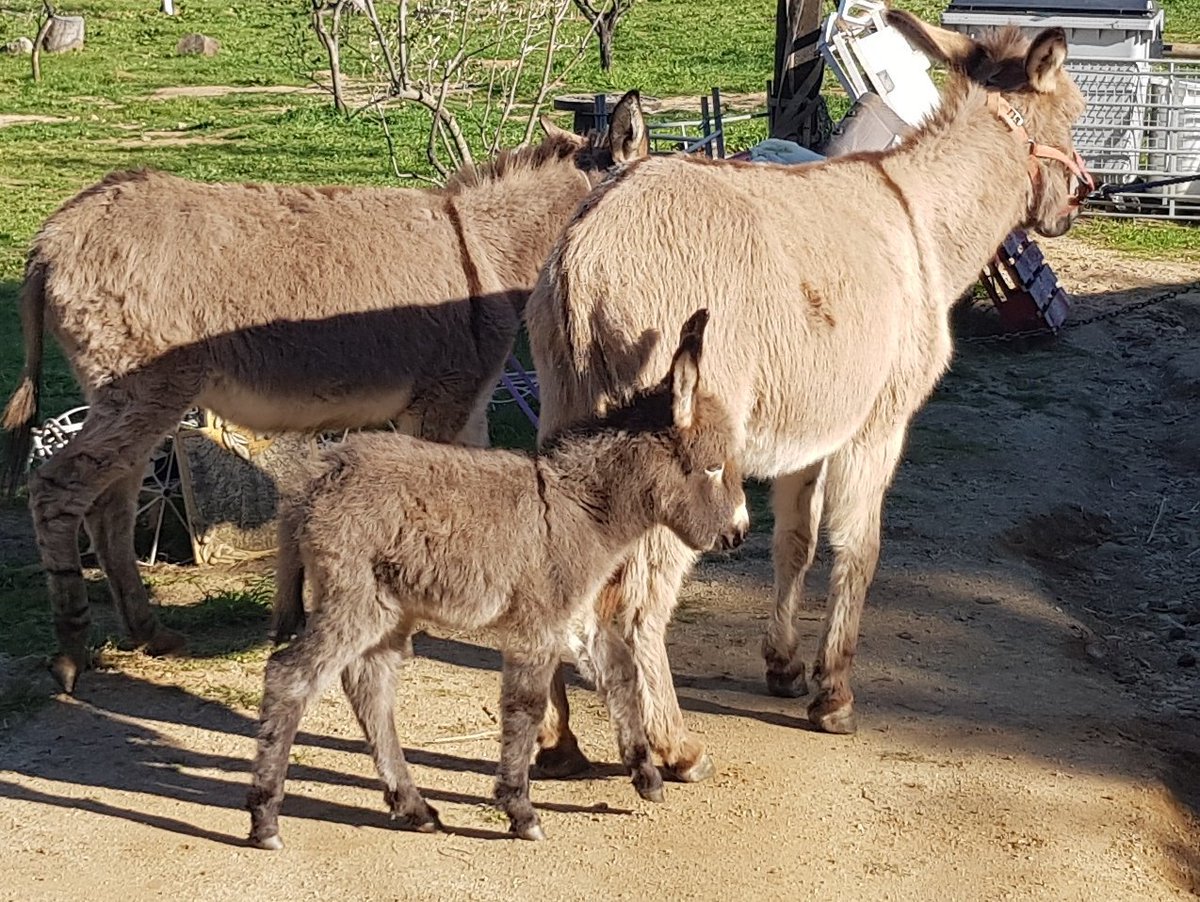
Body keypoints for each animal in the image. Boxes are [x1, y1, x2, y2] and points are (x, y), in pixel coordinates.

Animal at [248, 309, 744, 844]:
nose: (739, 532)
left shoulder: (576, 618)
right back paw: (265, 817)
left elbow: (621, 675)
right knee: (291, 676)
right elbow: (525, 707)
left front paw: (646, 775)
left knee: (369, 689)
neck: (585, 508)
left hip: (388, 609)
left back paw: (414, 807)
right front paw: (520, 810)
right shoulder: (537, 624)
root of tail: (319, 475)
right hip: (355, 598)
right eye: (713, 468)